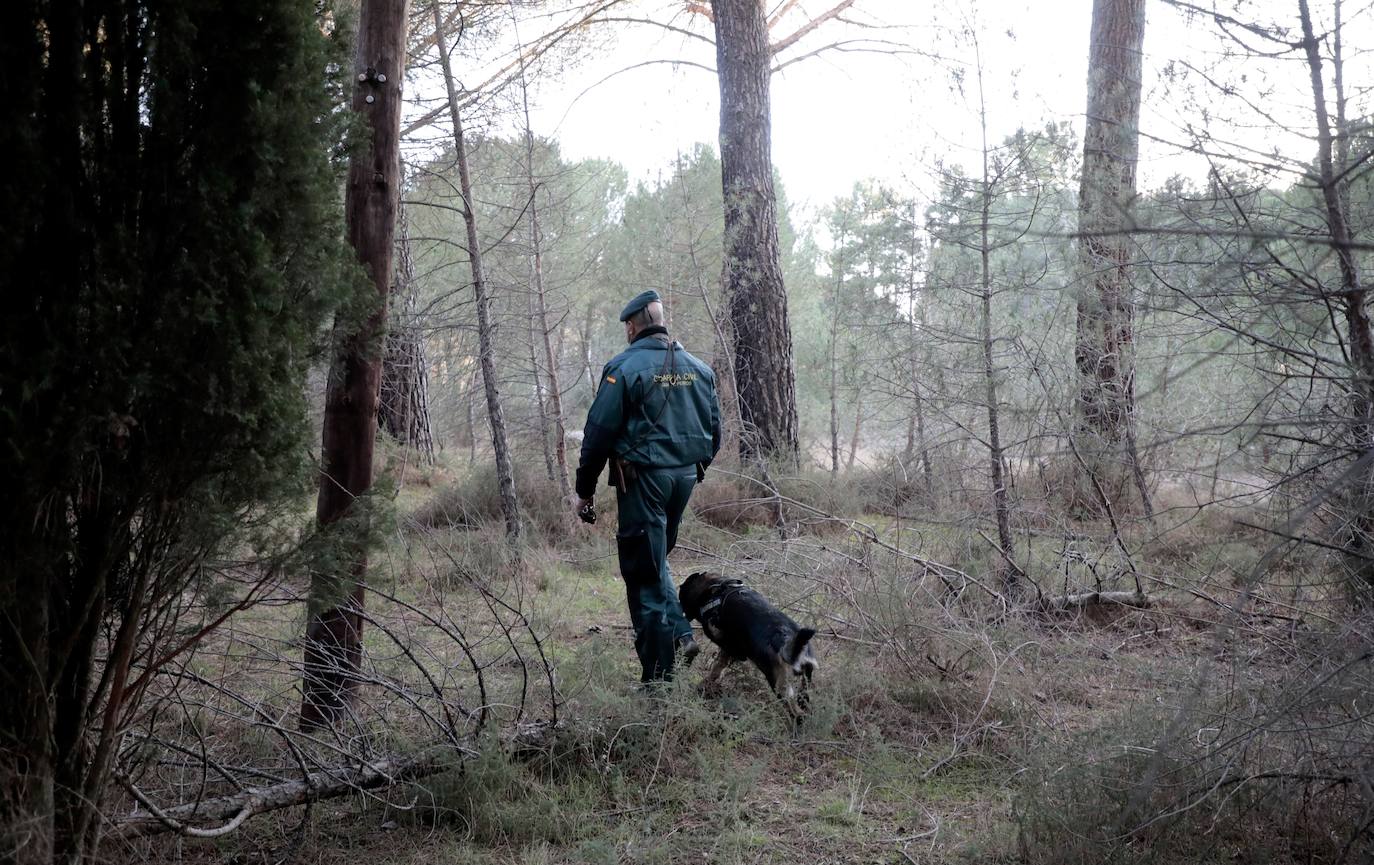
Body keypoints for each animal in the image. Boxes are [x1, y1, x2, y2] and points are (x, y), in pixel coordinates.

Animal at [676, 576, 813, 719]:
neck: (713, 590)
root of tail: (787, 638)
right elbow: (719, 667)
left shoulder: (727, 646)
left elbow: (717, 666)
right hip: (805, 682)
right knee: (804, 700)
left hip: (779, 684)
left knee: (796, 711)